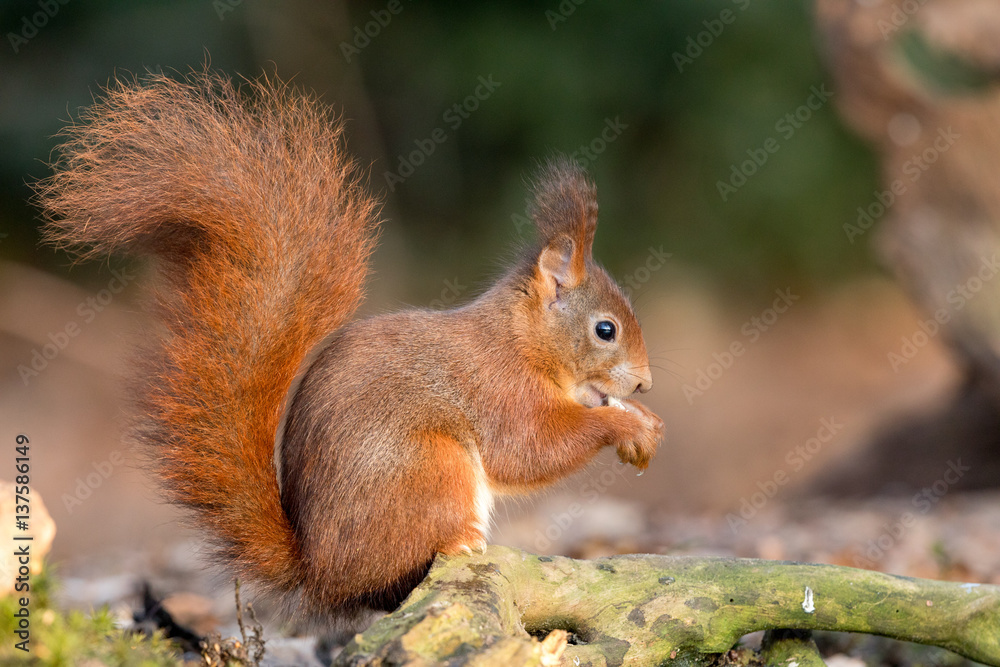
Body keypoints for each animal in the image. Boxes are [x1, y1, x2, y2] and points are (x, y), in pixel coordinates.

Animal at [37, 73, 664, 628]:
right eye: (605, 330)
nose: (644, 384)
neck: (522, 341)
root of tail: (322, 574)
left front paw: (645, 421)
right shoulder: (497, 389)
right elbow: (529, 449)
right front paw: (627, 426)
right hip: (429, 467)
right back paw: (461, 544)